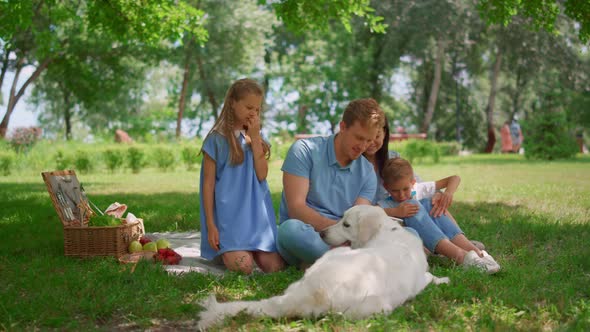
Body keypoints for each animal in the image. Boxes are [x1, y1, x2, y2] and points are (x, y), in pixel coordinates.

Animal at [198, 205, 448, 330]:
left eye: (346, 224)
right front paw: (444, 279)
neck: (387, 232)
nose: (322, 233)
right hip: (377, 305)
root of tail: (310, 292)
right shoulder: (420, 278)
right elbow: (430, 276)